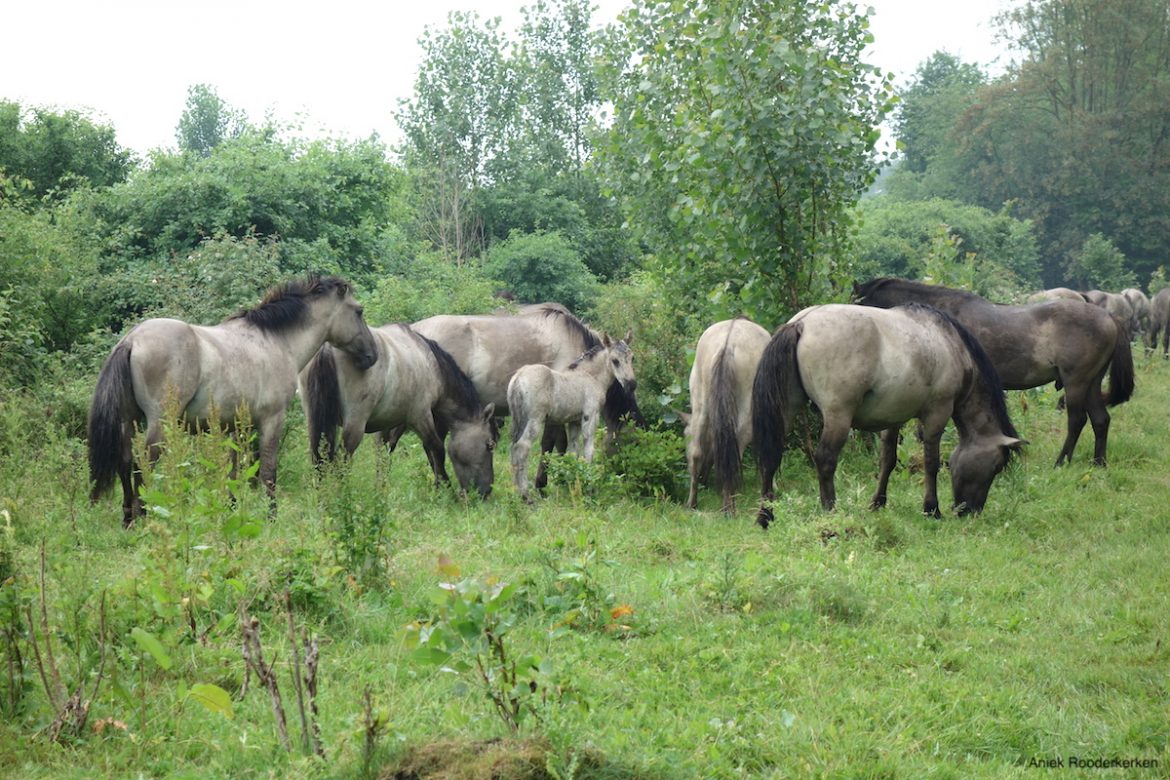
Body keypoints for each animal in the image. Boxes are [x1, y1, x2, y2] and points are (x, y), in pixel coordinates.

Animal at [88, 277, 376, 528]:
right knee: (144, 464)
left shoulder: (235, 426)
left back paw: (128, 519)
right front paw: (271, 519)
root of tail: (132, 340)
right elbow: (268, 472)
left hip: (129, 420)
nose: (372, 355)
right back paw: (143, 516)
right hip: (160, 423)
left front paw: (231, 512)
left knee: (125, 462)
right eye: (359, 311)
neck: (275, 342)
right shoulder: (272, 420)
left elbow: (233, 473)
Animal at [299, 325, 496, 498]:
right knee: (341, 460)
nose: (487, 491)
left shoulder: (391, 423)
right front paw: (445, 487)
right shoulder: (420, 416)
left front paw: (380, 490)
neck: (430, 364)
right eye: (489, 445)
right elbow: (436, 448)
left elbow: (384, 455)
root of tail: (327, 348)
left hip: (315, 423)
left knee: (318, 459)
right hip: (355, 425)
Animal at [683, 318, 772, 512]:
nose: (704, 479)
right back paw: (729, 507)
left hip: (700, 402)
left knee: (696, 451)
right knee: (736, 449)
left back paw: (693, 502)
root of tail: (727, 345)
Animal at [748, 304, 1024, 530]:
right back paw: (830, 511)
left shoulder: (893, 418)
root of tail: (802, 323)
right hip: (838, 417)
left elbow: (887, 461)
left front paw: (878, 503)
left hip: (786, 409)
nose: (971, 512)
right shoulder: (937, 413)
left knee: (770, 457)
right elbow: (931, 463)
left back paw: (766, 516)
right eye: (996, 466)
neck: (950, 344)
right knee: (825, 460)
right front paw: (932, 509)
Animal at [851, 277, 1132, 467]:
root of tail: (1109, 317)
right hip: (1092, 383)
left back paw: (1061, 461)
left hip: (1077, 382)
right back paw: (1098, 463)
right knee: (1100, 419)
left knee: (1077, 420)